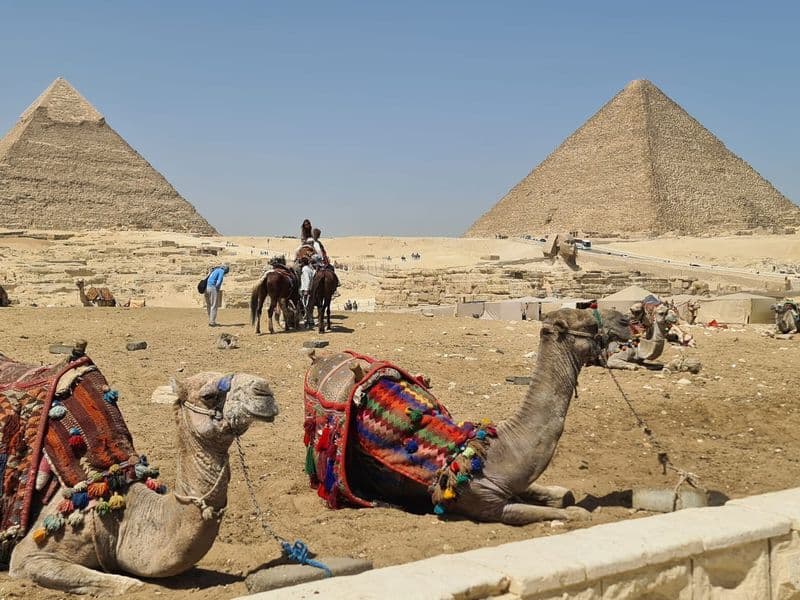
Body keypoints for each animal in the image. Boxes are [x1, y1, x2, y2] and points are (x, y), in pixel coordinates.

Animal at [303, 308, 632, 524]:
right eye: (588, 320)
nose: (626, 319)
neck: (495, 451)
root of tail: (322, 361)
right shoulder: (487, 505)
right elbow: (569, 511)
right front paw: (579, 512)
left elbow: (562, 494)